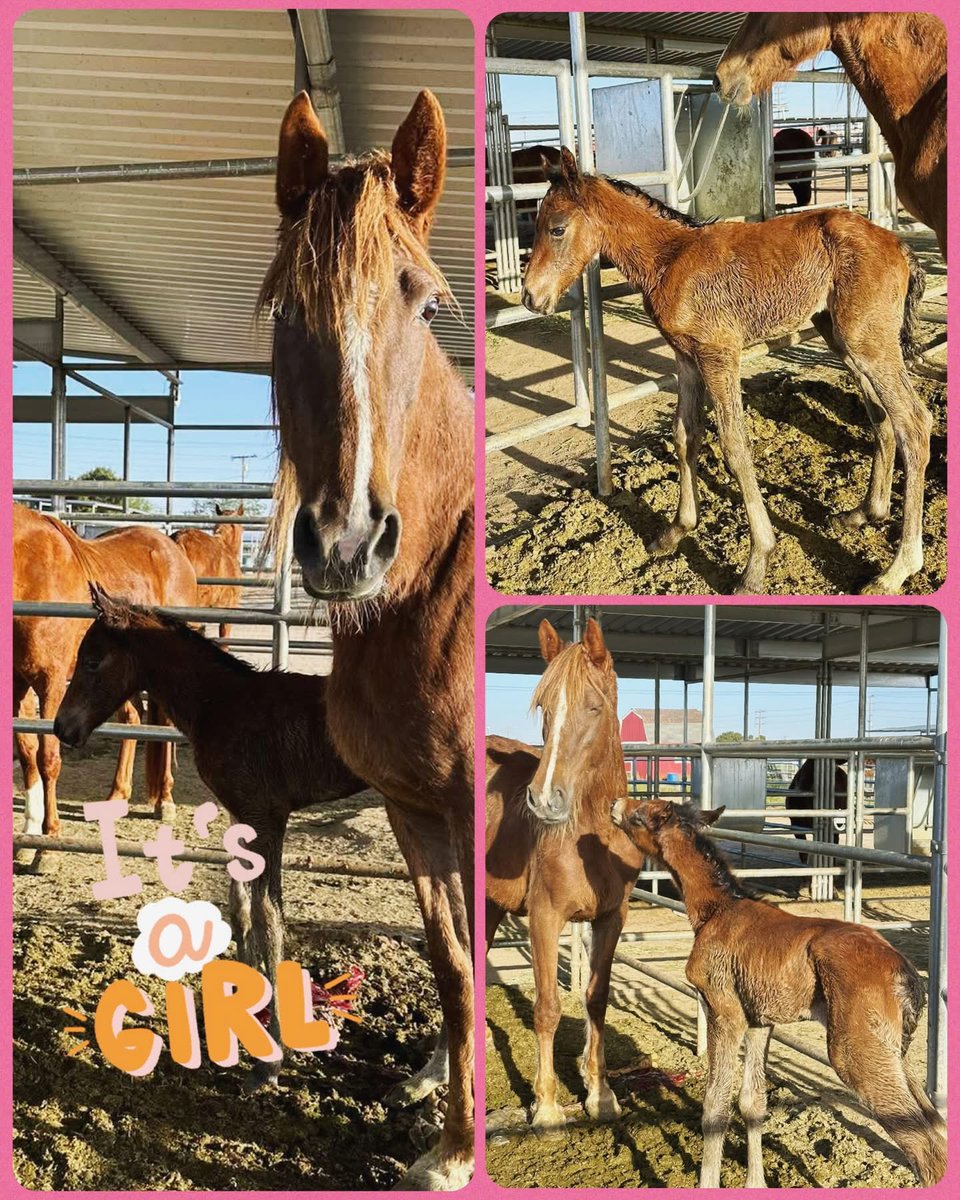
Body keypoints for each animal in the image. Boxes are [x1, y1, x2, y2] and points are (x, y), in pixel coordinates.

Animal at [13, 505, 198, 869]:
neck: (30, 569)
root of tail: (172, 549)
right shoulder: (17, 683)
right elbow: (27, 754)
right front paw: (28, 836)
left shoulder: (51, 683)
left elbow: (48, 757)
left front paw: (48, 845)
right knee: (133, 719)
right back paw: (117, 797)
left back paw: (165, 802)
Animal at [54, 585, 366, 1085]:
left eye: (92, 660)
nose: (63, 728)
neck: (220, 704)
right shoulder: (242, 816)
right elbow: (239, 910)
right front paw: (249, 1012)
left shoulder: (268, 816)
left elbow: (269, 918)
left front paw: (273, 1059)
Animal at [486, 618, 645, 1129]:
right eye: (543, 707)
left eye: (593, 707)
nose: (543, 800)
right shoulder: (544, 918)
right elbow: (547, 1008)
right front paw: (548, 1106)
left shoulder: (611, 918)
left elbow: (596, 998)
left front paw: (601, 1094)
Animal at [521, 148, 931, 596]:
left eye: (557, 228)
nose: (530, 297)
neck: (669, 260)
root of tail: (899, 244)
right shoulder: (685, 358)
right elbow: (685, 436)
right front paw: (676, 531)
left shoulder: (719, 355)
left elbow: (735, 447)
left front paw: (756, 563)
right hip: (844, 340)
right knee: (882, 417)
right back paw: (864, 513)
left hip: (868, 344)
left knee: (914, 422)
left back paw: (896, 569)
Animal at [615, 799, 946, 1187]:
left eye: (640, 815)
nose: (615, 805)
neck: (715, 910)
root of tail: (905, 973)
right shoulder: (760, 1019)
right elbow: (752, 1102)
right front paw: (755, 1183)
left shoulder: (724, 1011)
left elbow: (715, 1107)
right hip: (893, 1051)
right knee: (935, 1126)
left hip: (856, 1051)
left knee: (924, 1148)